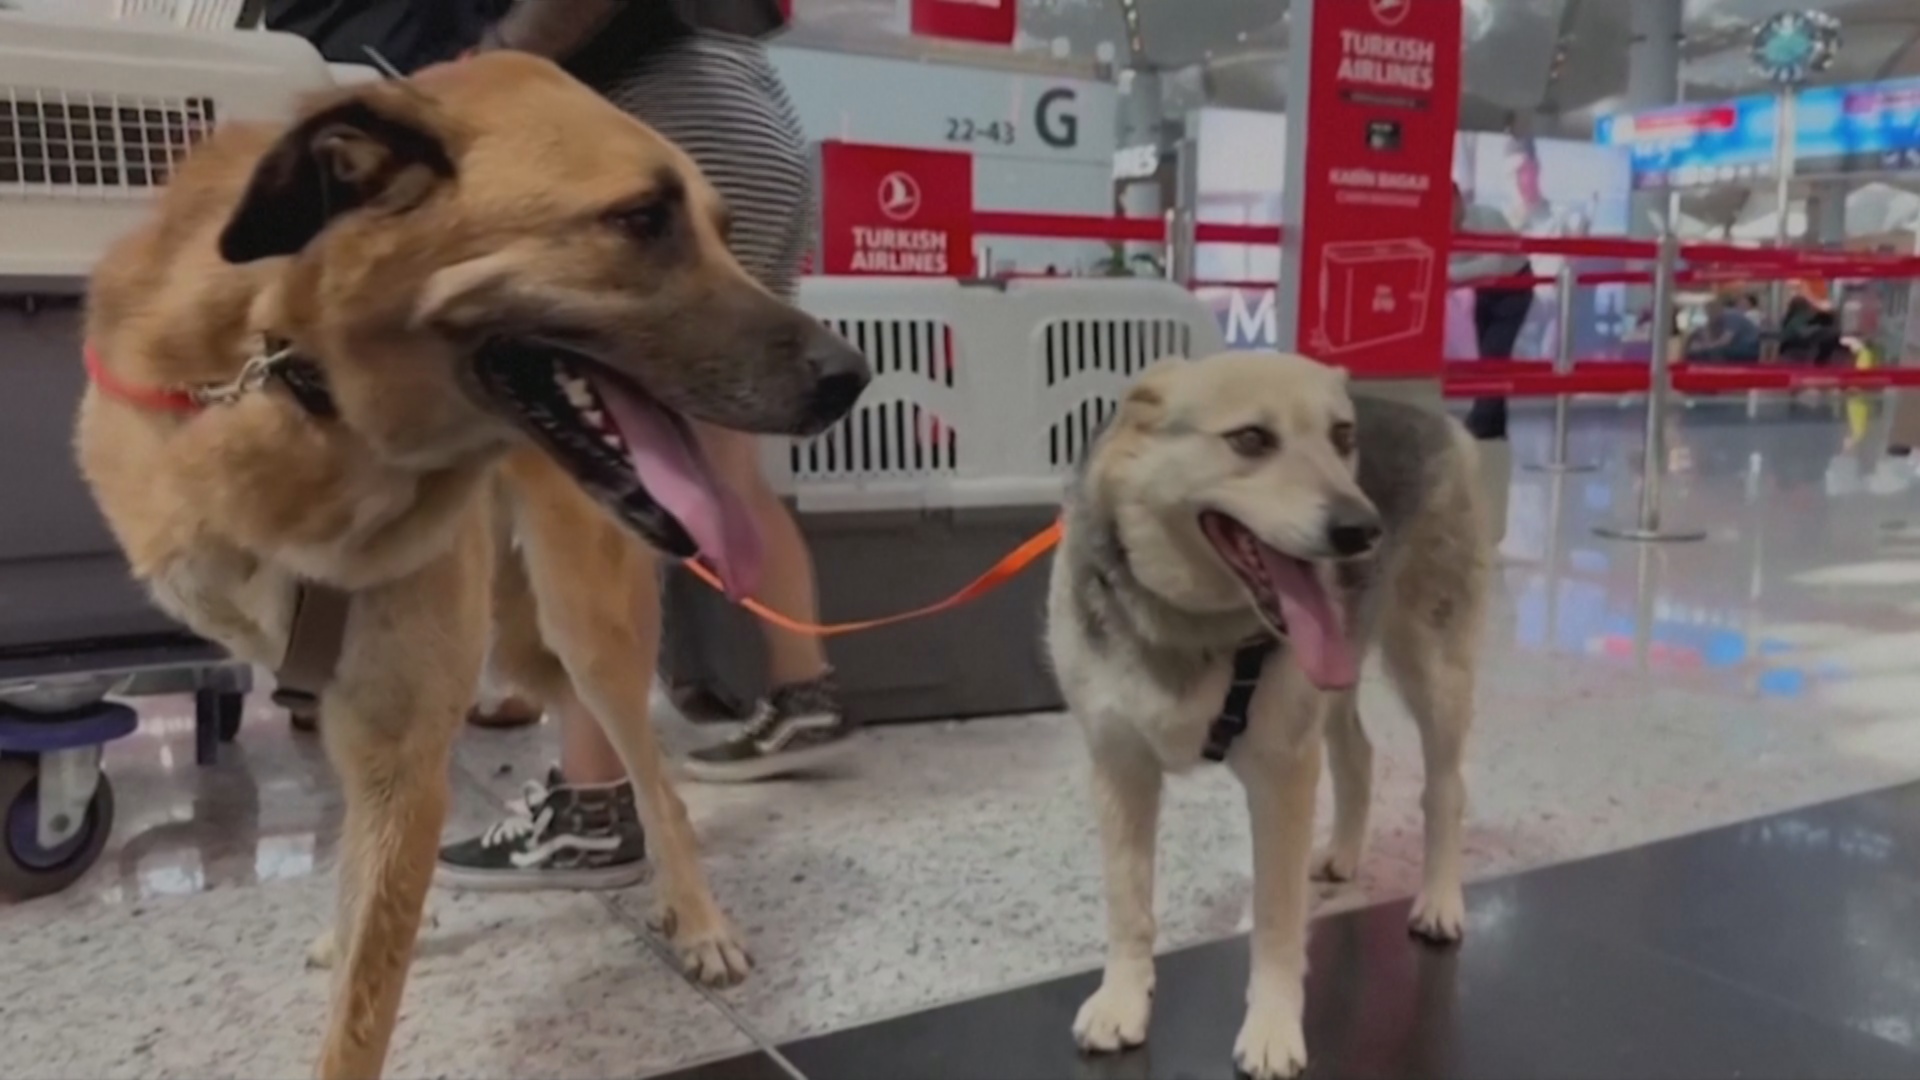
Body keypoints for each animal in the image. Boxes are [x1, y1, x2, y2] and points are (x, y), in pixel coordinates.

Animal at [76, 54, 871, 1068]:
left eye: (723, 233)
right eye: (642, 220)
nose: (852, 377)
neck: (301, 391)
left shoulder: (401, 750)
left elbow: (357, 1025)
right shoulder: (362, 730)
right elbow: (362, 920)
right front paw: (350, 931)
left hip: (585, 627)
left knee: (657, 784)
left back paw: (698, 921)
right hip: (527, 641)